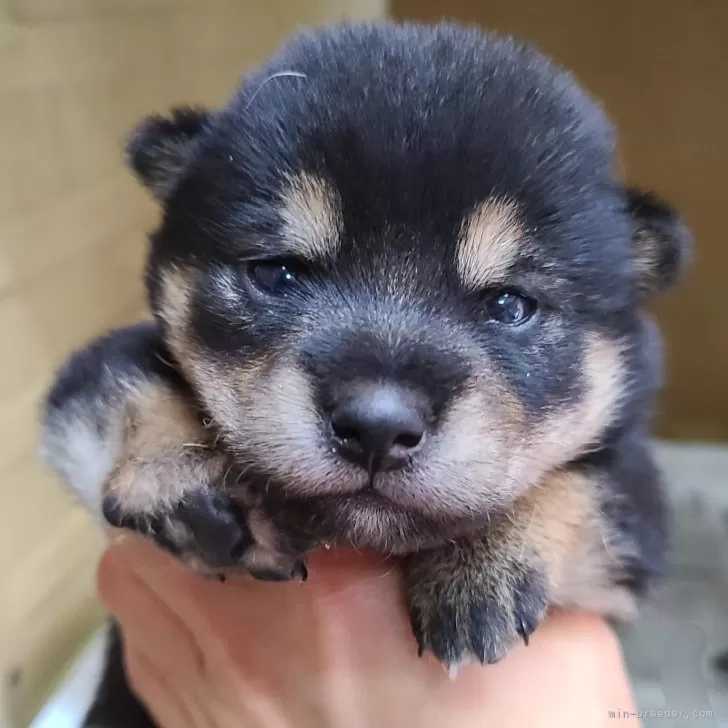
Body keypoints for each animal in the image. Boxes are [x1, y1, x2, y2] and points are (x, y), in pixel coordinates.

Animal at [42, 19, 692, 724]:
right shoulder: (93, 378)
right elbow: (122, 382)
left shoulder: (633, 520)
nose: (377, 428)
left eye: (510, 305)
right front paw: (185, 475)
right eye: (277, 272)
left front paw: (484, 559)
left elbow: (585, 484)